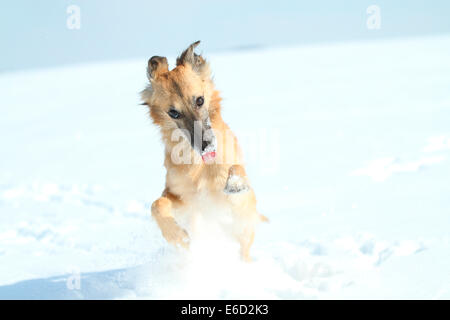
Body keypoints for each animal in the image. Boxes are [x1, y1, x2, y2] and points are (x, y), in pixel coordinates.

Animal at [142, 41, 266, 262]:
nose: (206, 144)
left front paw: (235, 183)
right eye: (173, 112)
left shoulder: (238, 205)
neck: (199, 166)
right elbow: (156, 205)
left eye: (199, 100)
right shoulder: (183, 198)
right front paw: (177, 236)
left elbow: (236, 172)